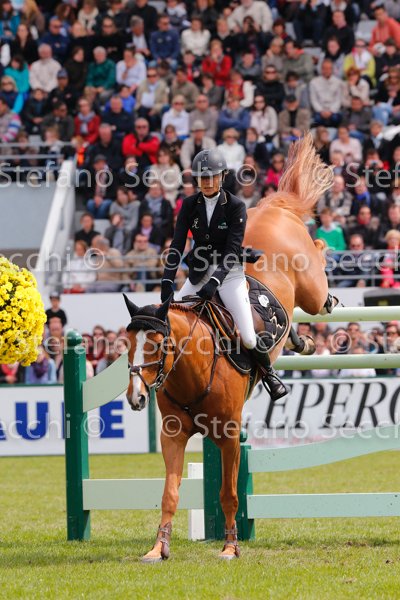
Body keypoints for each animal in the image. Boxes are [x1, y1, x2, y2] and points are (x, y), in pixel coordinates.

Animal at [123, 133, 334, 562]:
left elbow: (229, 494)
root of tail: (272, 208)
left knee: (319, 277)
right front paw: (158, 548)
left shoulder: (230, 434)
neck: (191, 372)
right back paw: (301, 340)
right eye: (127, 344)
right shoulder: (173, 436)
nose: (136, 398)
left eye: (156, 345)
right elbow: (170, 494)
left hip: (311, 288)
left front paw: (230, 547)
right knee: (294, 323)